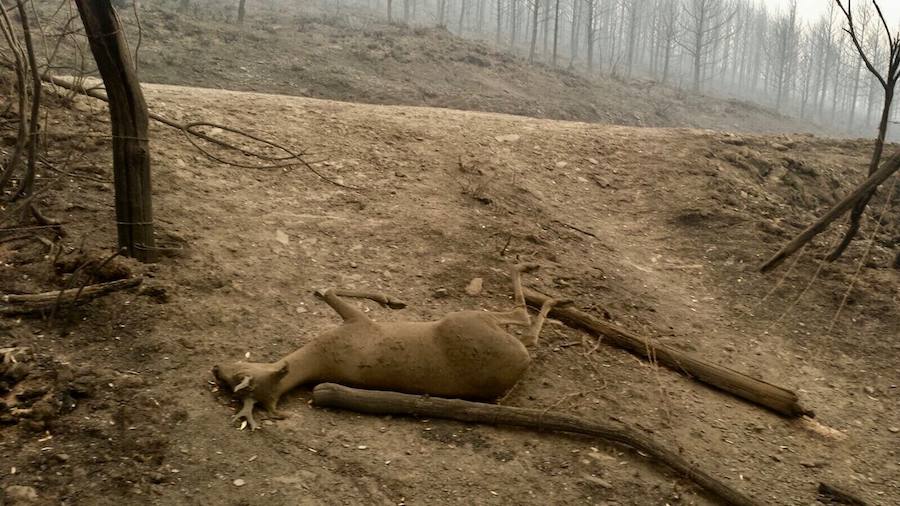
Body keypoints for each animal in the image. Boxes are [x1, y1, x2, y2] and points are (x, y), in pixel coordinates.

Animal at [214, 262, 568, 428]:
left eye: (239, 375)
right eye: (237, 385)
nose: (216, 368)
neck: (315, 358)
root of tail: (520, 365)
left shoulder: (355, 323)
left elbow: (326, 289)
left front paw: (392, 299)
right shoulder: (356, 324)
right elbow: (329, 288)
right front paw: (391, 299)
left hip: (471, 321)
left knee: (525, 324)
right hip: (467, 319)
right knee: (524, 324)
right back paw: (546, 288)